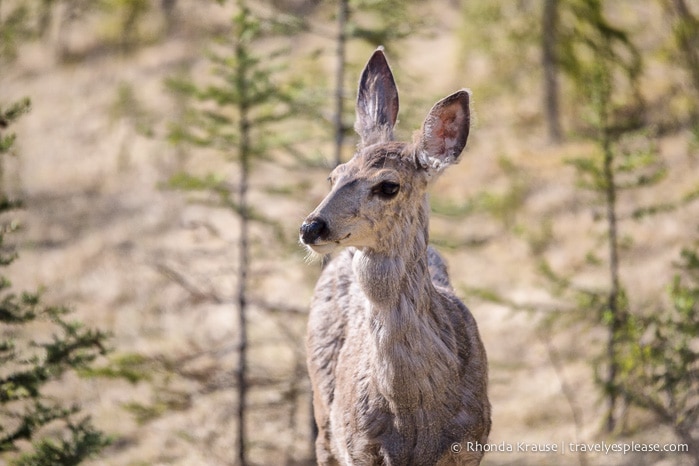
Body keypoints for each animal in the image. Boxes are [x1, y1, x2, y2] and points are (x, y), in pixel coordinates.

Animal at [300, 49, 492, 464]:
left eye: (388, 186)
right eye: (334, 176)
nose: (311, 227)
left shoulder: (472, 442)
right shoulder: (359, 446)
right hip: (324, 417)